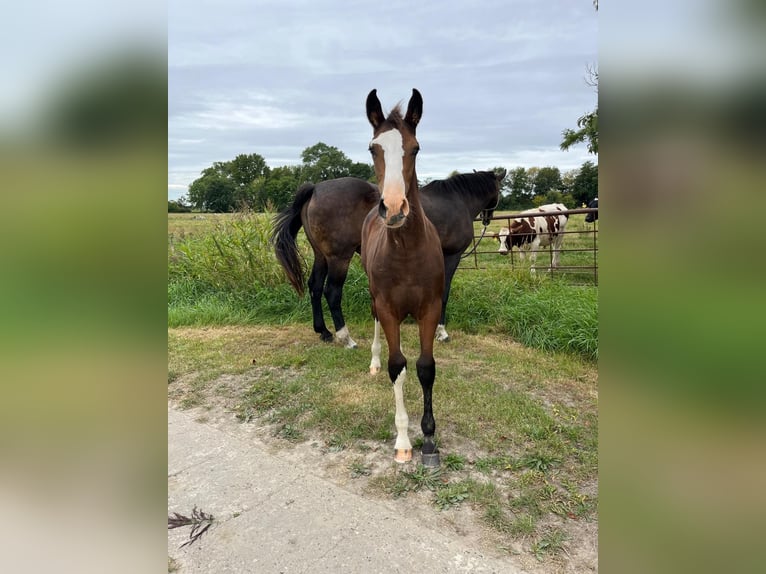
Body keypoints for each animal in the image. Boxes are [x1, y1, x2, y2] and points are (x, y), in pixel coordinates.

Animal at [271, 171, 504, 347]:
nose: (488, 218)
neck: (456, 201)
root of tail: (315, 189)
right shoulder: (451, 256)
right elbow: (444, 294)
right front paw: (441, 332)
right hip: (339, 258)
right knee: (332, 292)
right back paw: (346, 338)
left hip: (322, 256)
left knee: (315, 287)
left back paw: (324, 332)